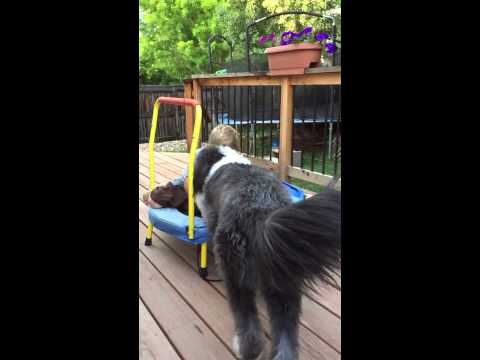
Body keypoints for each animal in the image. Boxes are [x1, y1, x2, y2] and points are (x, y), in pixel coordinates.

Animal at [193, 145, 340, 358]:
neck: (223, 159)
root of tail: (262, 216)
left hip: (235, 272)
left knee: (246, 320)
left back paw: (245, 348)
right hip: (284, 283)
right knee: (285, 337)